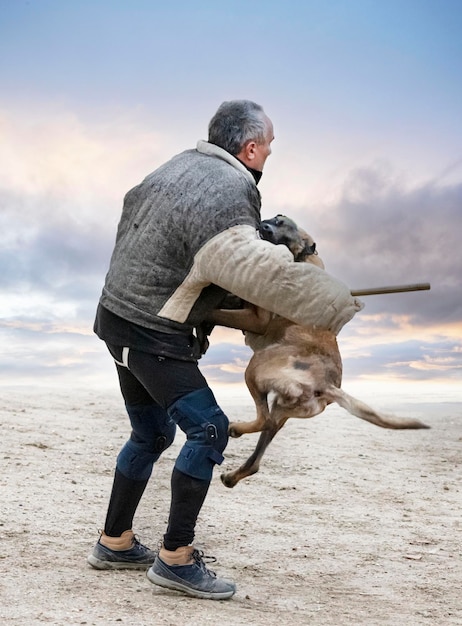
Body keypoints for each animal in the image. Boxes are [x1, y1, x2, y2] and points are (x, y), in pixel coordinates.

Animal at [213, 214, 430, 488]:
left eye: (286, 237)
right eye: (278, 220)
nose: (264, 227)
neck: (302, 258)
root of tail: (326, 384)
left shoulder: (256, 318)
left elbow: (219, 312)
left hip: (255, 369)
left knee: (264, 419)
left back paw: (236, 434)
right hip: (283, 409)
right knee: (258, 454)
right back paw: (233, 472)